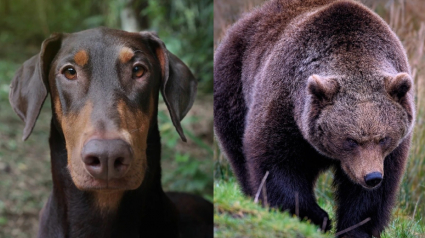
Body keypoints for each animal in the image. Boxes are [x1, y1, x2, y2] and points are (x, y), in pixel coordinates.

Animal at [214, 0, 412, 237]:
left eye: (383, 138)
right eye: (350, 140)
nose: (371, 177)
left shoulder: (389, 152)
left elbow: (372, 195)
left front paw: (355, 228)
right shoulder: (285, 107)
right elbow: (276, 164)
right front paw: (317, 217)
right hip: (234, 86)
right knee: (240, 155)